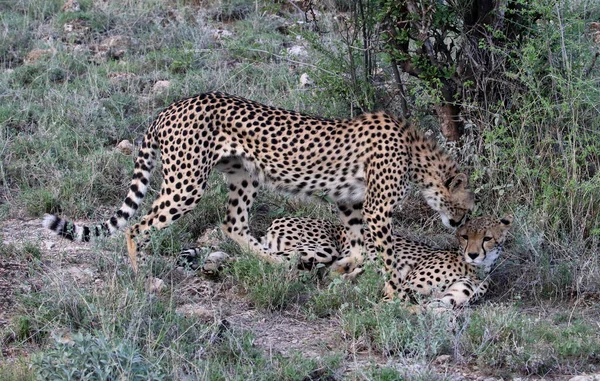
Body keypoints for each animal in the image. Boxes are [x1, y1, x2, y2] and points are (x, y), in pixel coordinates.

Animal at [42, 91, 474, 288]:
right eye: (467, 210)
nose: (458, 224)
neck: (418, 154)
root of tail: (171, 107)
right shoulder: (376, 209)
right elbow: (382, 251)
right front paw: (392, 287)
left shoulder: (351, 202)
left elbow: (358, 246)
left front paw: (344, 270)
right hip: (186, 183)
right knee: (137, 226)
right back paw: (140, 277)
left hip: (244, 174)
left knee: (233, 225)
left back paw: (278, 262)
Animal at [252, 215, 510, 304]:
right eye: (465, 236)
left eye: (487, 238)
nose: (473, 254)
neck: (474, 268)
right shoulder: (406, 287)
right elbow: (398, 302)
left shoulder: (453, 297)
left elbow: (438, 308)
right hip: (322, 248)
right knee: (267, 260)